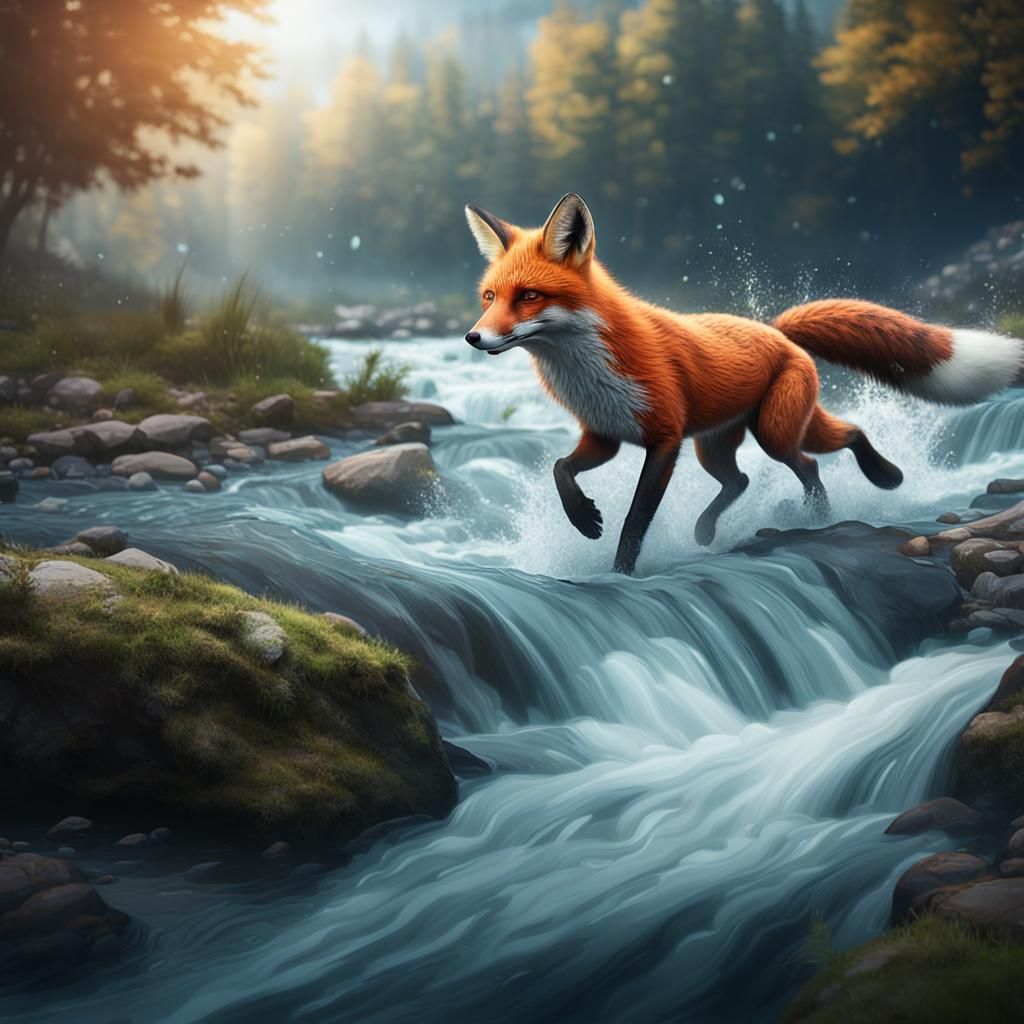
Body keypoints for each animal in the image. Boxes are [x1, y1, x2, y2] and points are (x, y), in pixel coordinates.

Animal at [464, 192, 1024, 575]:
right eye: (490, 296)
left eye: (529, 296)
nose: (473, 337)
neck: (588, 367)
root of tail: (777, 330)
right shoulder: (605, 435)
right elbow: (561, 469)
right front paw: (584, 519)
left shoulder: (664, 440)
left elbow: (635, 521)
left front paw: (620, 573)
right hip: (717, 445)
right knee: (747, 478)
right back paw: (714, 528)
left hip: (774, 431)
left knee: (823, 452)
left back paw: (864, 488)